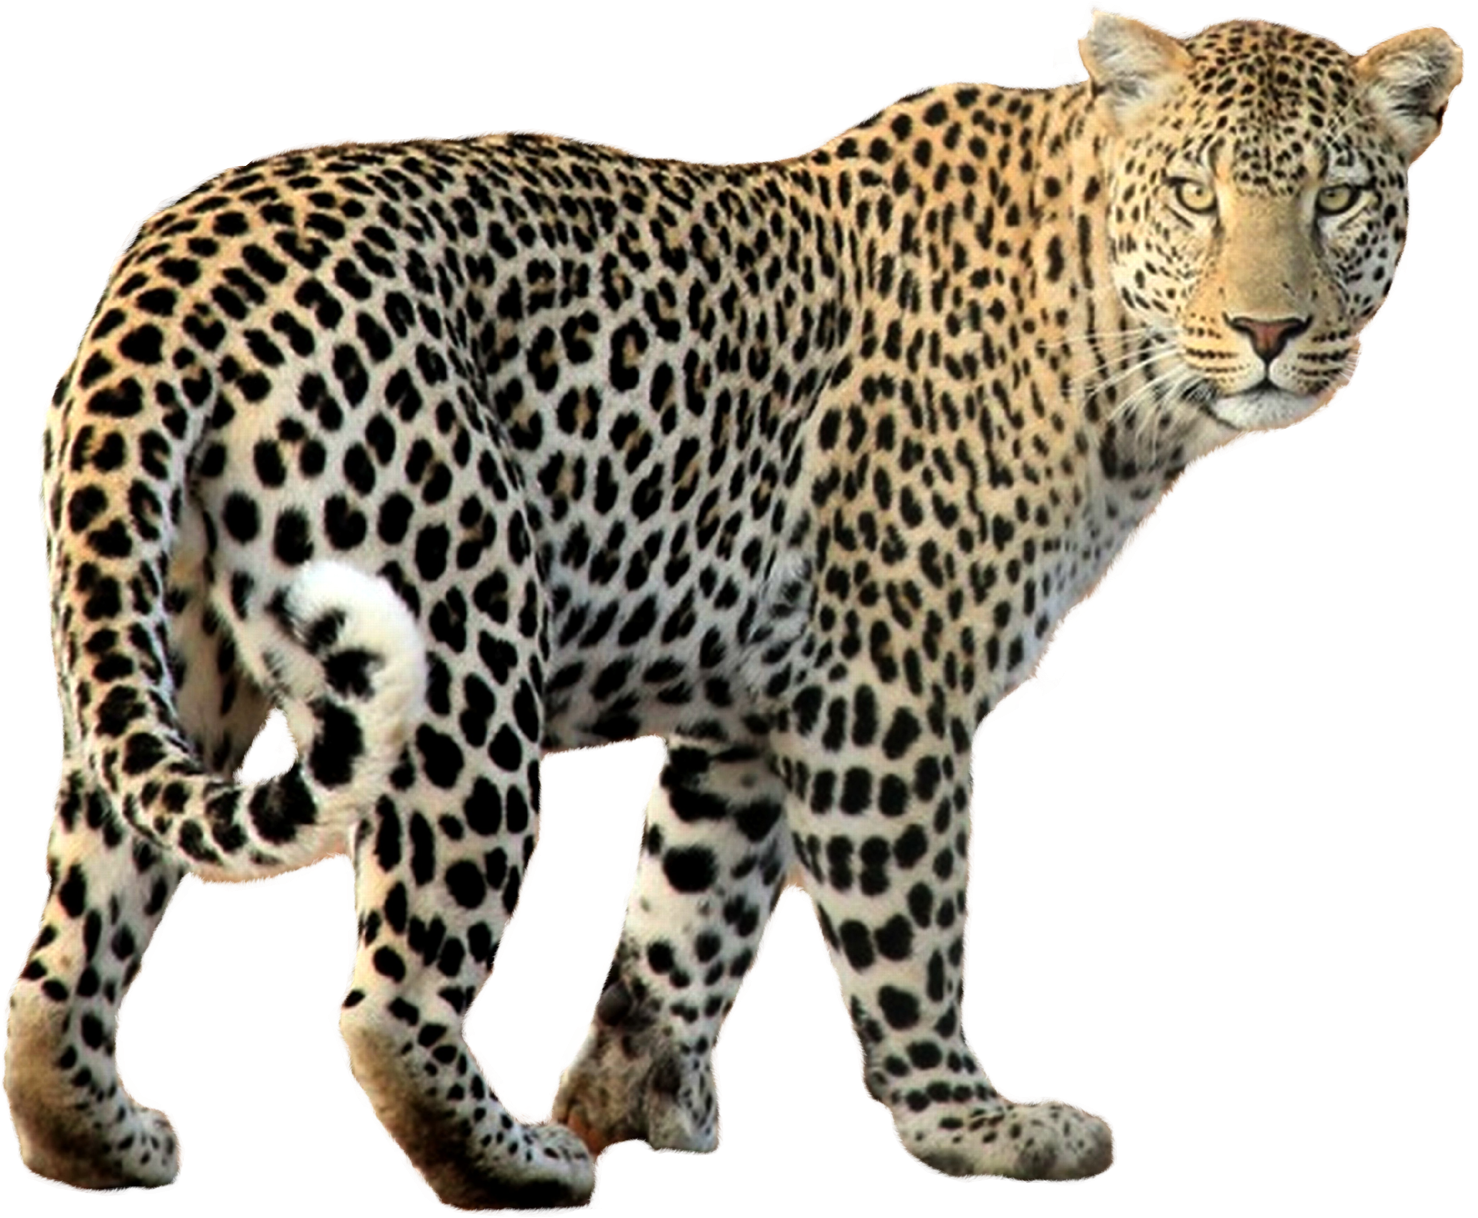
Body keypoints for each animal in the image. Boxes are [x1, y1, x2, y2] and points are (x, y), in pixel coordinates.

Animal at [6, 6, 1466, 1212]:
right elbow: (909, 926)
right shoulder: (888, 689)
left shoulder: (755, 711)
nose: (1269, 332)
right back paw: (514, 1161)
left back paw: (99, 1139)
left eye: (1337, 198)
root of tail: (176, 265)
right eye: (1192, 195)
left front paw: (637, 1102)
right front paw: (974, 1128)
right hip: (459, 656)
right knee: (387, 989)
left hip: (163, 646)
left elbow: (685, 913)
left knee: (71, 933)